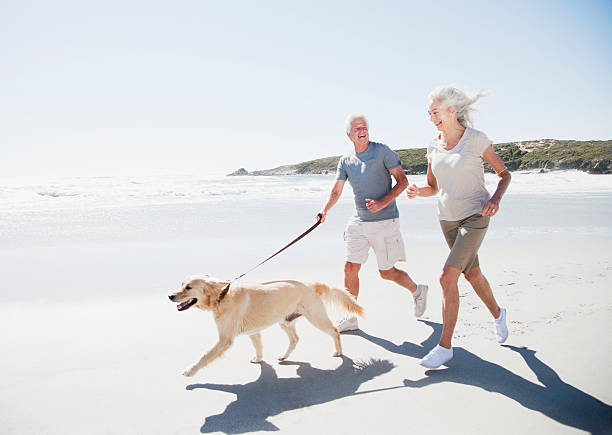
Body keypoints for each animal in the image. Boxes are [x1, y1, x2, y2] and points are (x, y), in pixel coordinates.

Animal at [169, 276, 364, 378]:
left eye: (188, 287)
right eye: (181, 285)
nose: (170, 296)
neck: (222, 296)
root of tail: (311, 284)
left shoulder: (224, 339)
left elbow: (204, 356)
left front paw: (190, 370)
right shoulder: (252, 332)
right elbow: (258, 346)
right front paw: (259, 358)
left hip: (316, 318)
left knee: (335, 331)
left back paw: (338, 351)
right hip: (284, 320)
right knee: (295, 339)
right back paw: (284, 356)